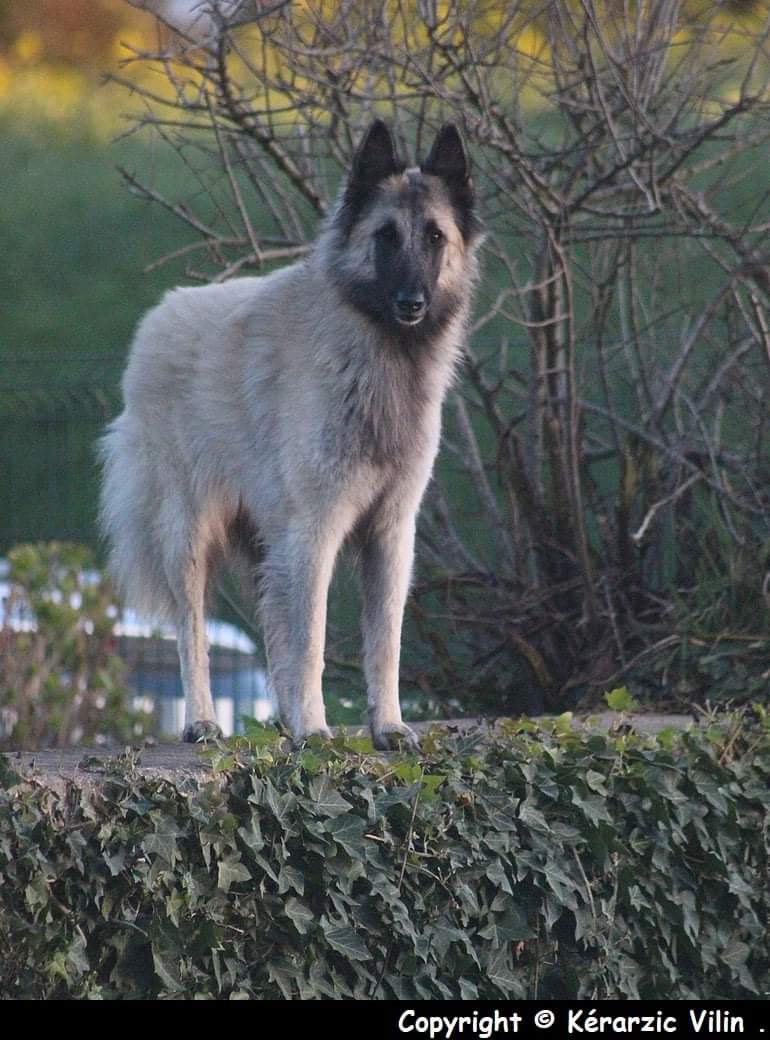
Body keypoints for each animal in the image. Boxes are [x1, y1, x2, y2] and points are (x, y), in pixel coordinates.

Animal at [96, 121, 480, 748]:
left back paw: (280, 720)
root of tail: (156, 319)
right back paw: (204, 720)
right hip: (189, 536)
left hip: (266, 544)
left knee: (270, 628)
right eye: (385, 237)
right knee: (192, 631)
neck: (376, 358)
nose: (412, 303)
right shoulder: (314, 532)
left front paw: (385, 725)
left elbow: (384, 642)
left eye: (434, 237)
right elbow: (311, 641)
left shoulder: (390, 535)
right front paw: (316, 727)